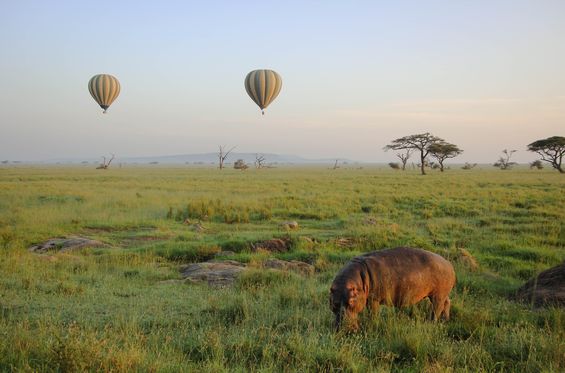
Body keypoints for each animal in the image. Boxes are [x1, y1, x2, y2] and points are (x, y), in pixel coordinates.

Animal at [328, 247, 456, 328]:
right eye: (334, 304)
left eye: (351, 302)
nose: (344, 329)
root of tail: (449, 264)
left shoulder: (373, 298)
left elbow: (373, 313)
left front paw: (373, 324)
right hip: (442, 294)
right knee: (447, 302)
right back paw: (445, 320)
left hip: (437, 295)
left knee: (437, 308)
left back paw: (431, 323)